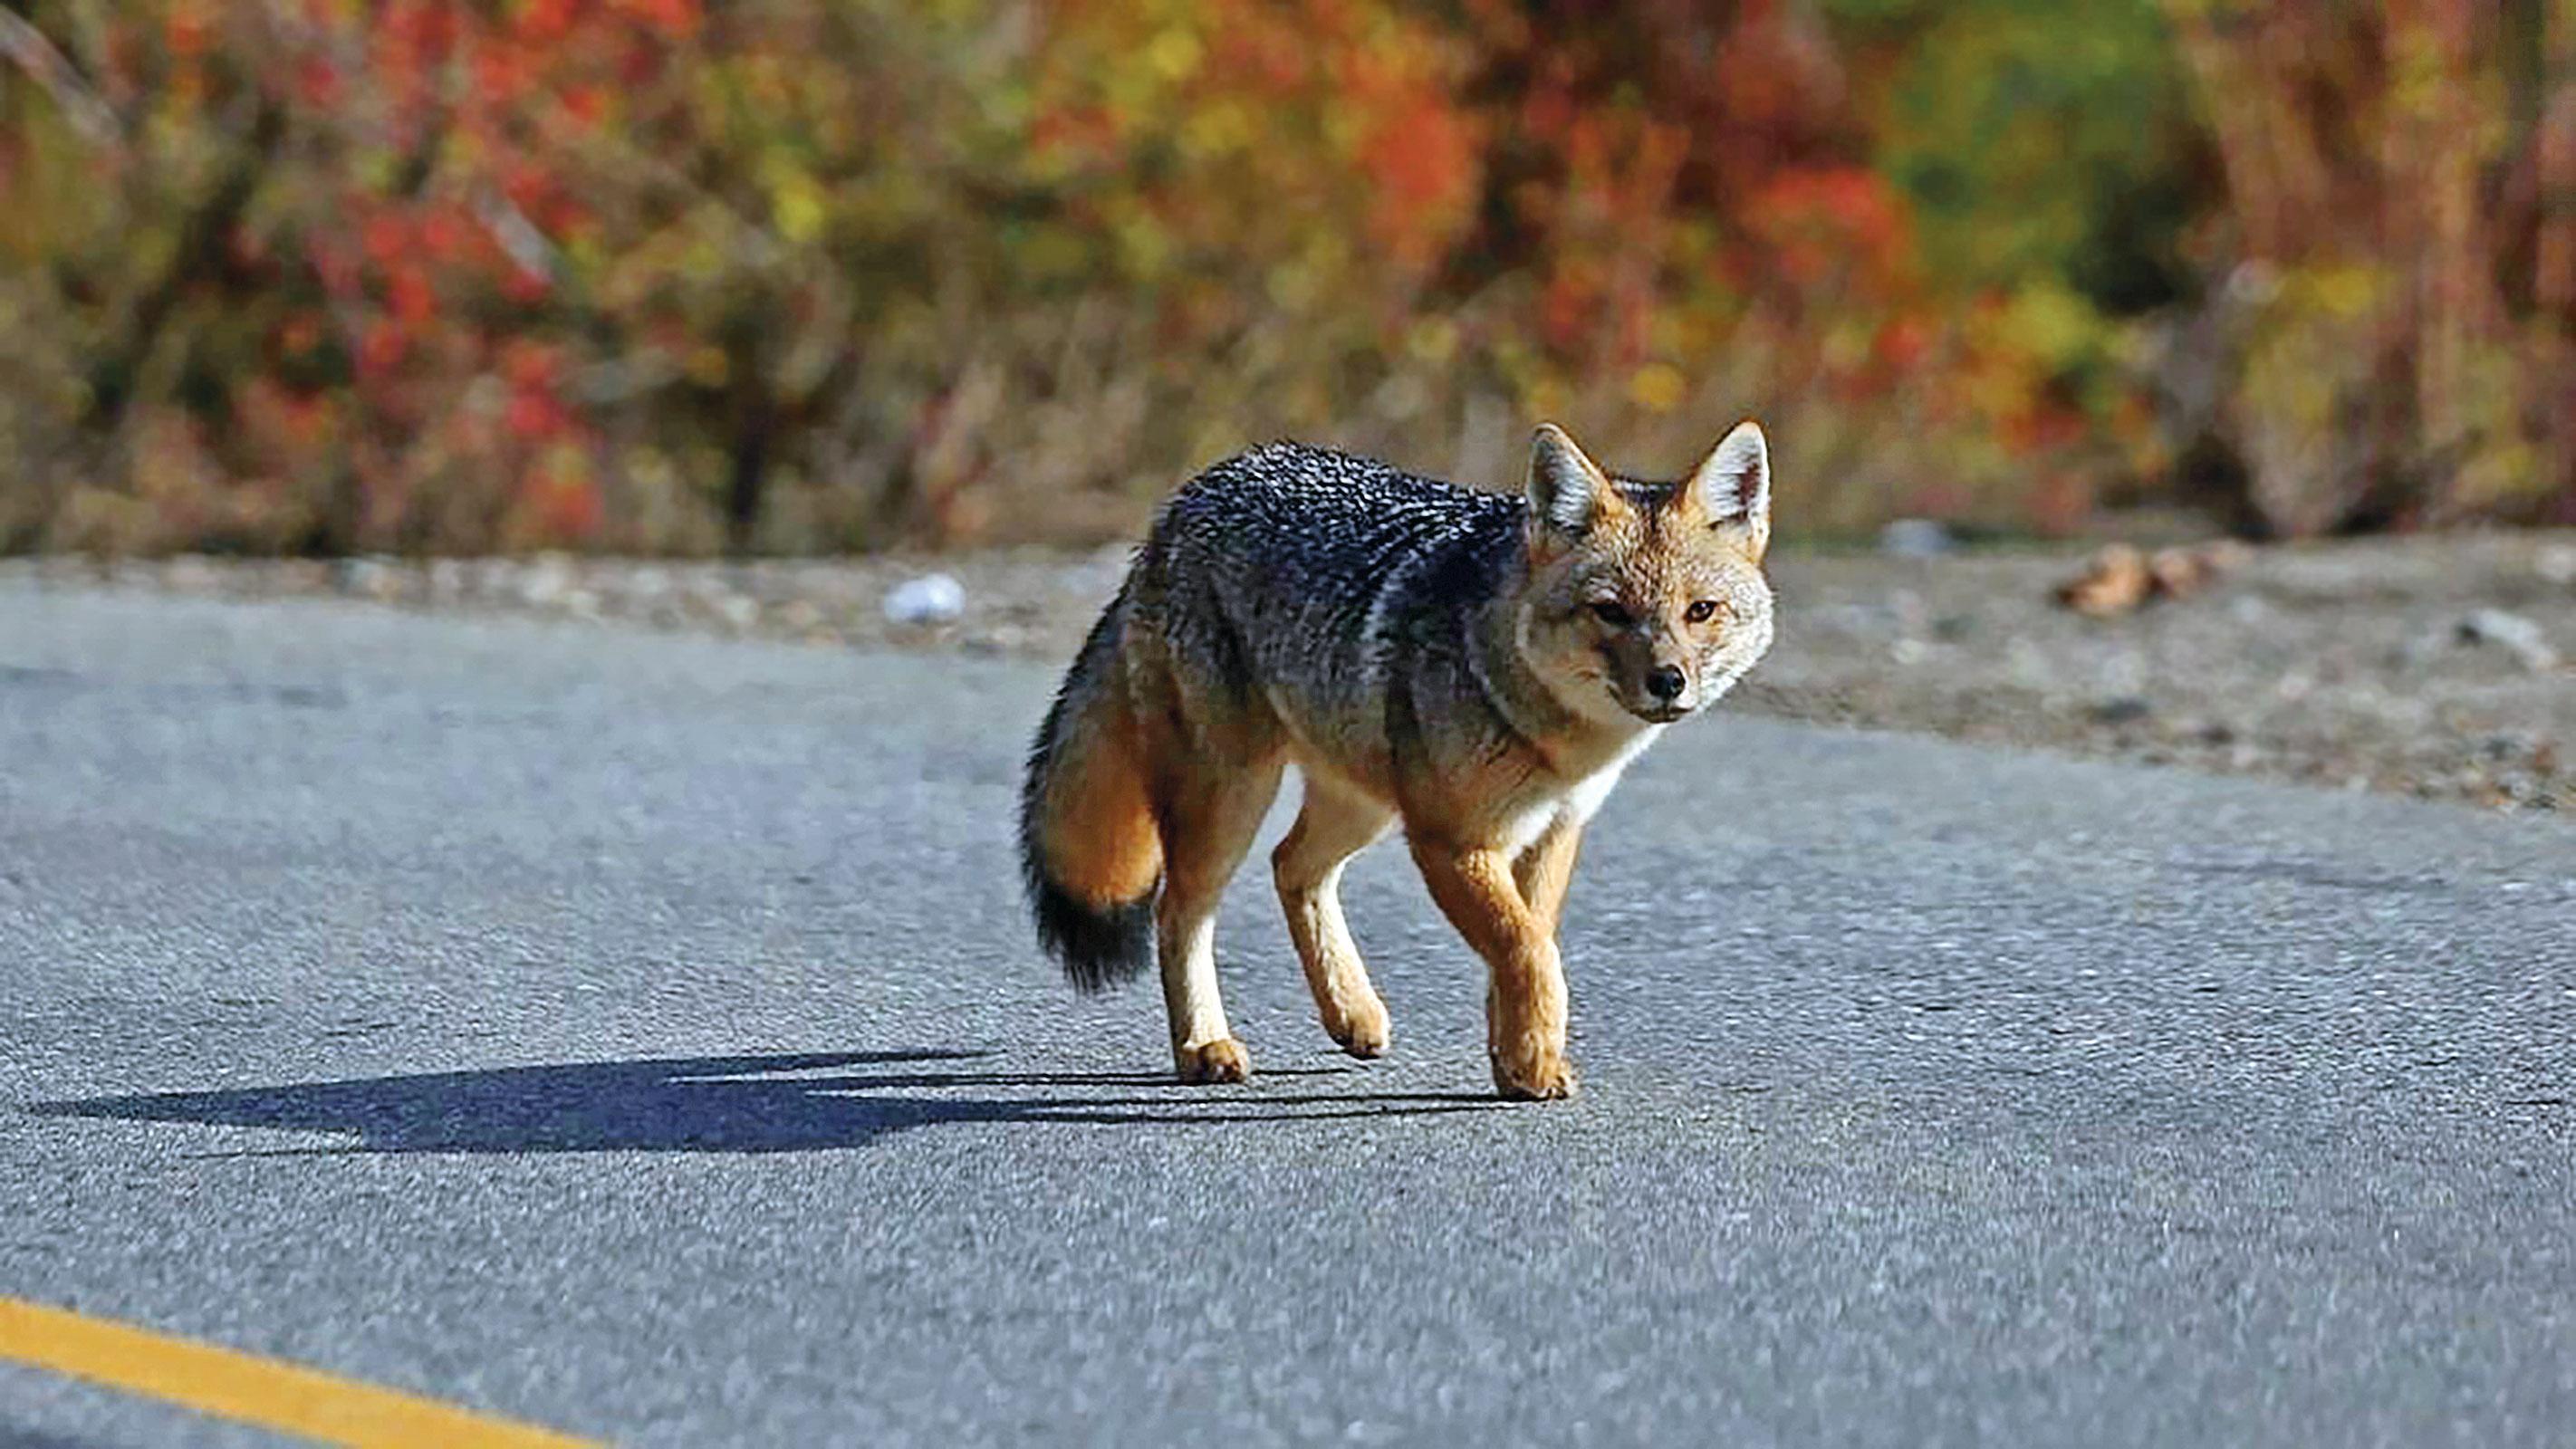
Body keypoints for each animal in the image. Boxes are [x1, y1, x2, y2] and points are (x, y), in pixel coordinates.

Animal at [1014, 419, 1783, 1101]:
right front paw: (1533, 1060)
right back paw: (1204, 1045)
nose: (1668, 682)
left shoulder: (1552, 831)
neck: (1556, 739)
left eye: (1700, 612)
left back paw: (1351, 1012)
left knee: (1293, 867)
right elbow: (1529, 952)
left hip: (1363, 802)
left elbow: (1524, 949)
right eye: (1611, 612)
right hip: (1231, 799)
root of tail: (1188, 498)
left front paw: (1516, 1060)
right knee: (1179, 911)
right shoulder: (1451, 839)